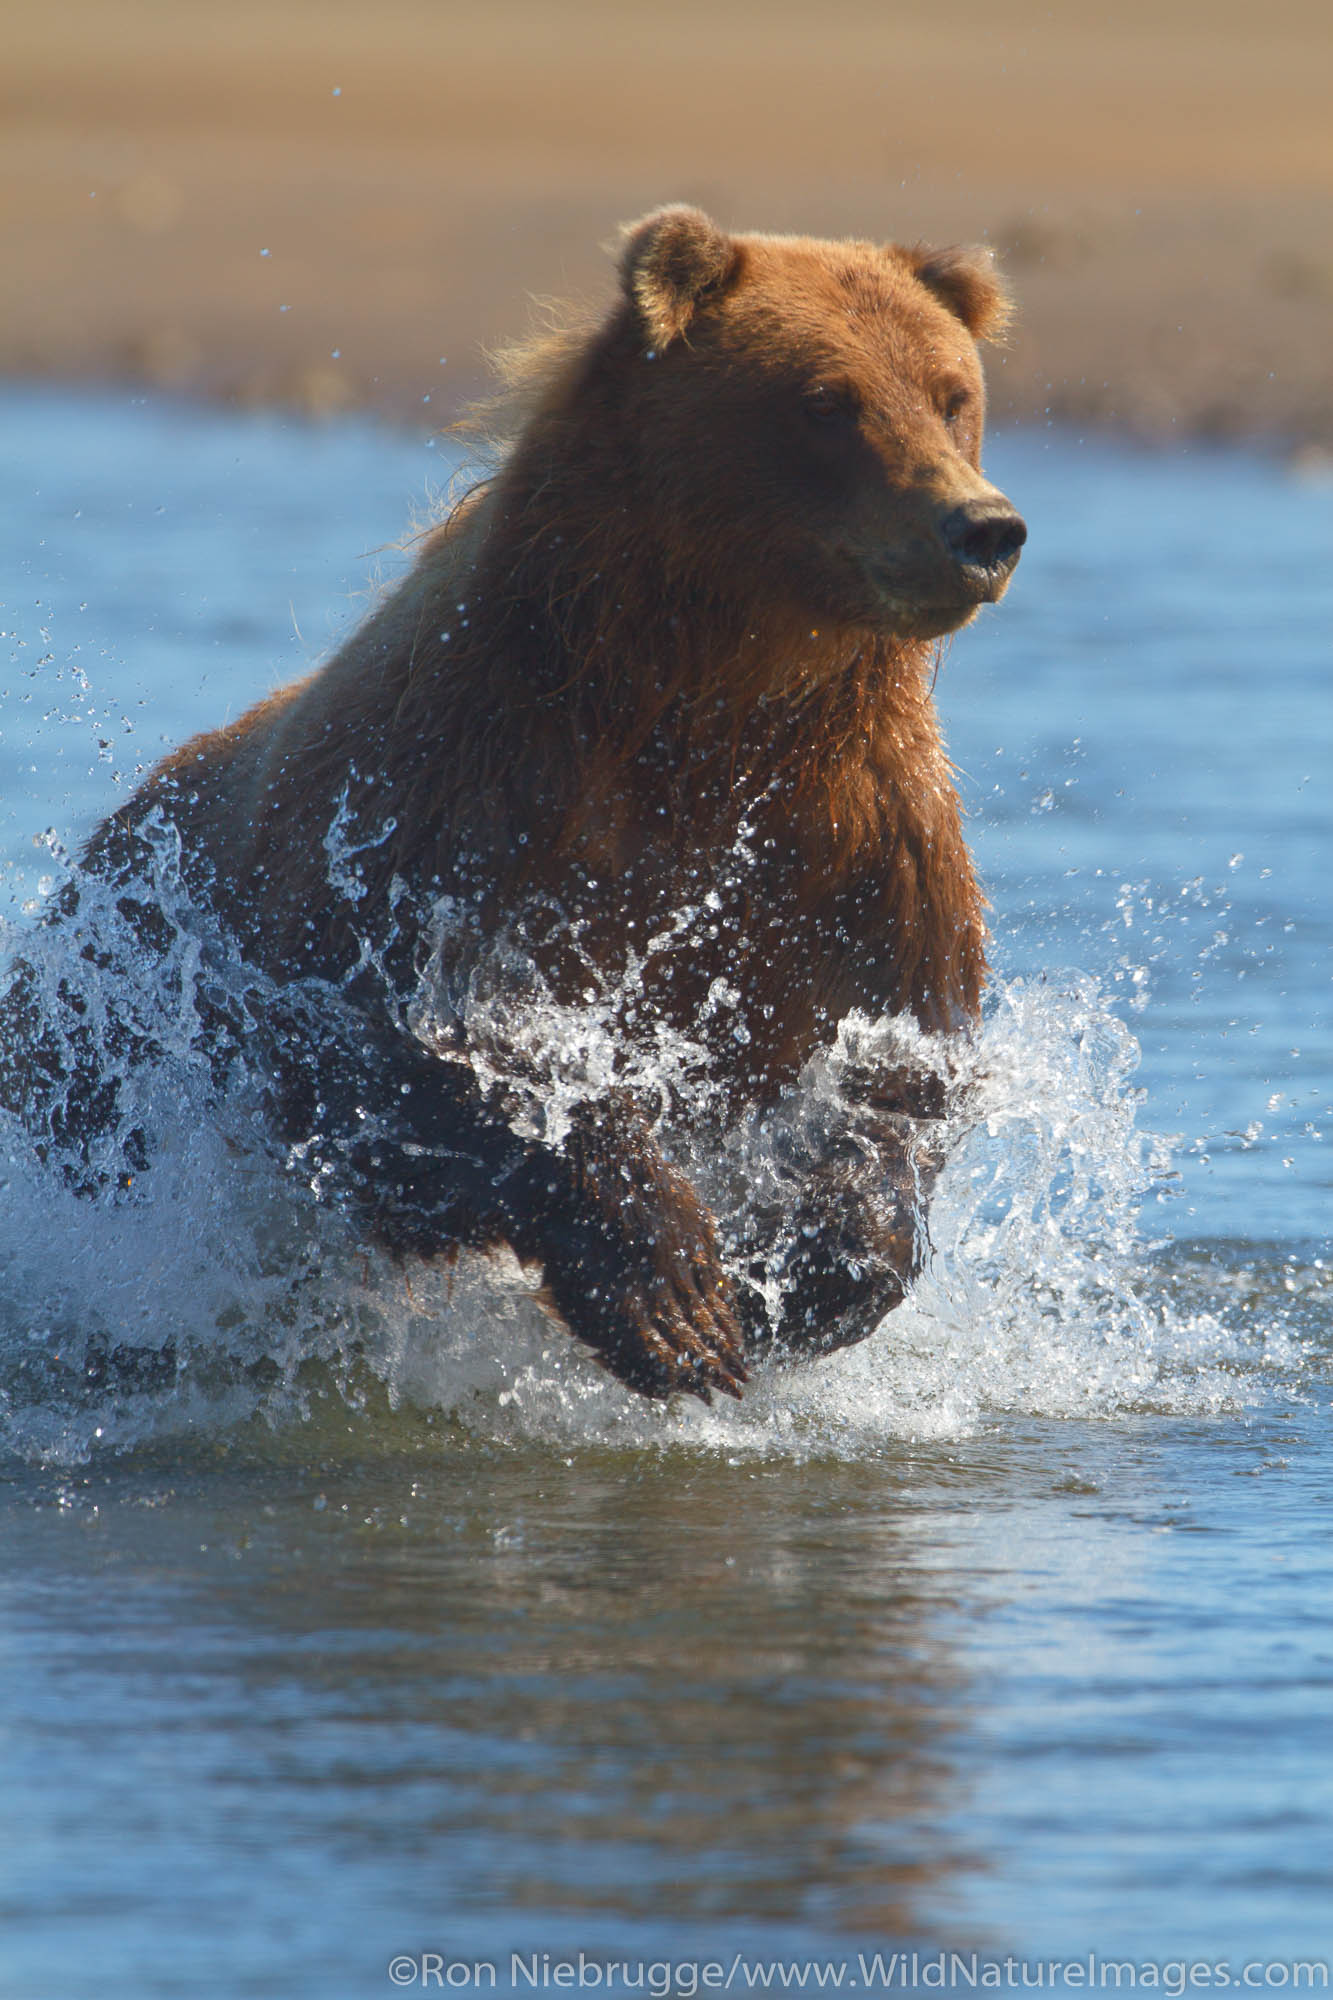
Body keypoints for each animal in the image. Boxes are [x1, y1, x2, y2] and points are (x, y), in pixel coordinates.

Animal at [2, 211, 1016, 1408]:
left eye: (952, 393)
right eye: (826, 399)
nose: (979, 528)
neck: (713, 704)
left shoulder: (859, 844)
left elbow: (894, 1072)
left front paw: (802, 1274)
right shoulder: (467, 802)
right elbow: (430, 1061)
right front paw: (672, 1295)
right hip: (101, 1029)